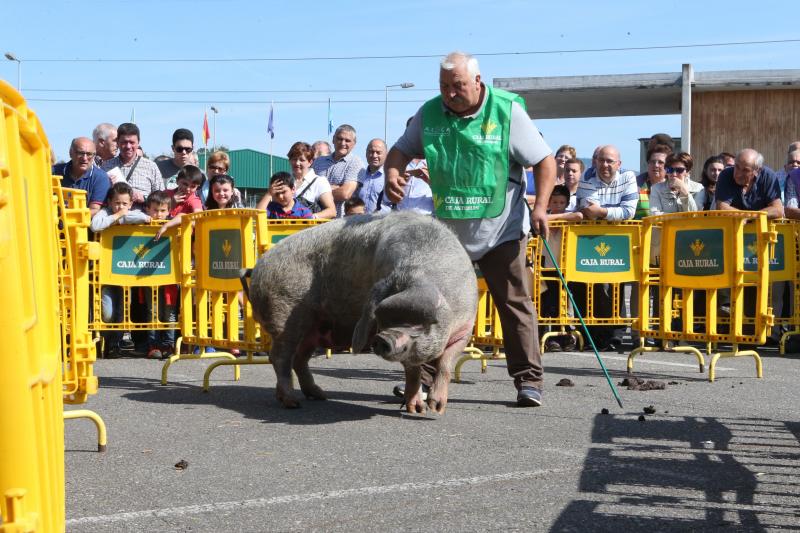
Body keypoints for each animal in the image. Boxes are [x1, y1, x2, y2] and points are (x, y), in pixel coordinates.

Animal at [244, 210, 478, 414]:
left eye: (420, 323)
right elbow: (413, 370)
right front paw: (421, 409)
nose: (383, 338)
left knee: (299, 358)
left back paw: (320, 395)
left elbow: (445, 365)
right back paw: (292, 403)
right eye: (383, 319)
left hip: (314, 327)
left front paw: (430, 410)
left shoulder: (465, 330)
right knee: (280, 357)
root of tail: (258, 267)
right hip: (284, 314)